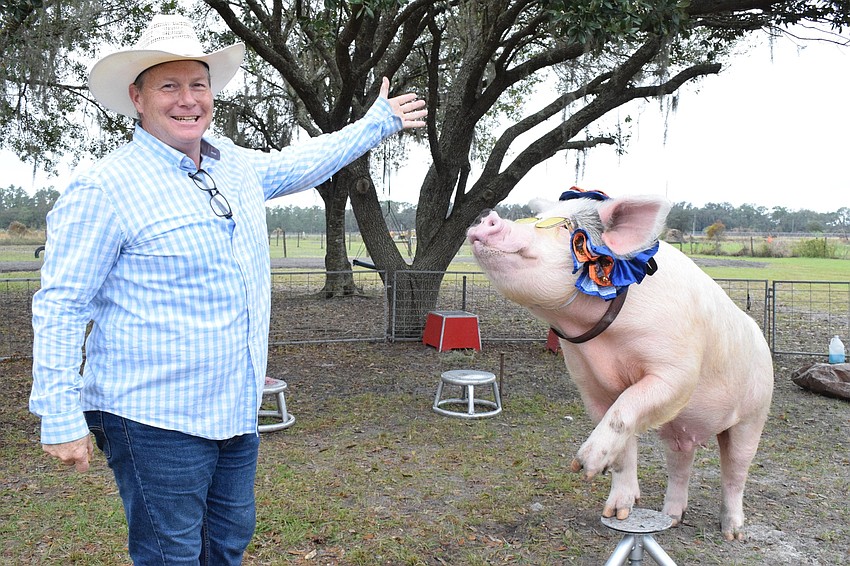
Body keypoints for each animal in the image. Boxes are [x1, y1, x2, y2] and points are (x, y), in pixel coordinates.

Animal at [466, 190, 773, 540]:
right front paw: (617, 512)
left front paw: (583, 466)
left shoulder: (677, 371)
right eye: (539, 218)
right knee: (680, 463)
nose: (488, 217)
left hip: (754, 414)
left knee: (735, 471)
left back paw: (732, 533)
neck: (608, 343)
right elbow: (622, 441)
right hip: (679, 430)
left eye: (565, 226)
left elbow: (625, 409)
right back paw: (671, 517)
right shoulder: (590, 386)